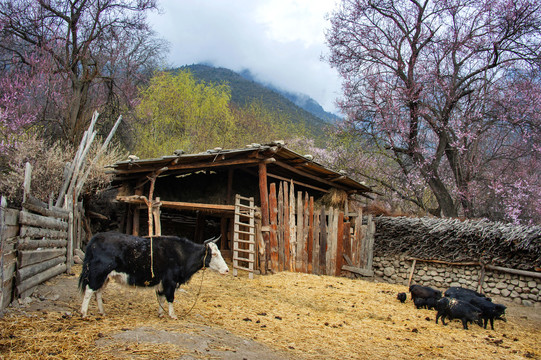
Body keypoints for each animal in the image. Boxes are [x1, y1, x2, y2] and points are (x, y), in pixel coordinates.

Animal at [77, 231, 228, 318]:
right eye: (214, 254)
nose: (226, 270)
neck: (182, 254)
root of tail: (96, 238)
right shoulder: (170, 281)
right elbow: (170, 297)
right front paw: (172, 315)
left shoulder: (162, 283)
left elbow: (161, 298)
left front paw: (160, 314)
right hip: (98, 272)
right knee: (89, 290)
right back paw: (84, 313)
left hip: (105, 277)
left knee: (98, 292)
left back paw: (102, 312)